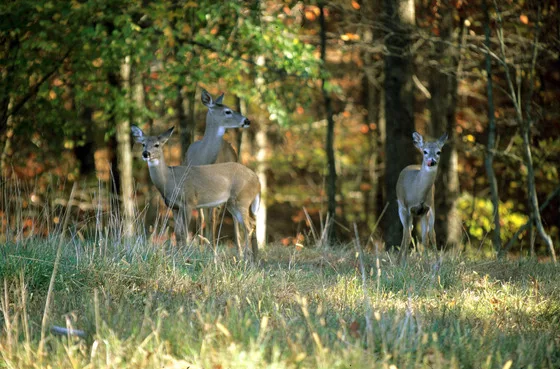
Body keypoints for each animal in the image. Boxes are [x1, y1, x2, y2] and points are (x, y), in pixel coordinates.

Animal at [132, 125, 262, 260]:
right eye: (143, 144)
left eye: (157, 145)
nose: (145, 154)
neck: (169, 179)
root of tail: (258, 181)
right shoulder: (174, 207)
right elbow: (178, 233)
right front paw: (177, 255)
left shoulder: (189, 202)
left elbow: (184, 233)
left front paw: (184, 256)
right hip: (233, 203)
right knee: (252, 223)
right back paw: (254, 259)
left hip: (242, 199)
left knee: (248, 227)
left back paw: (246, 259)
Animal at [184, 89, 249, 249]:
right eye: (227, 111)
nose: (247, 121)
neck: (203, 159)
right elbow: (202, 218)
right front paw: (203, 246)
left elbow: (211, 218)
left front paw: (211, 248)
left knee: (230, 216)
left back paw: (238, 249)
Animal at [396, 131, 448, 260]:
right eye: (425, 151)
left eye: (439, 152)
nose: (432, 161)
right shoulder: (408, 208)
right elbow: (408, 236)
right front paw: (404, 262)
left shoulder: (427, 209)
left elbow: (428, 238)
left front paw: (430, 263)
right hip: (401, 208)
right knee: (406, 232)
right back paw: (399, 260)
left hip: (427, 211)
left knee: (428, 235)